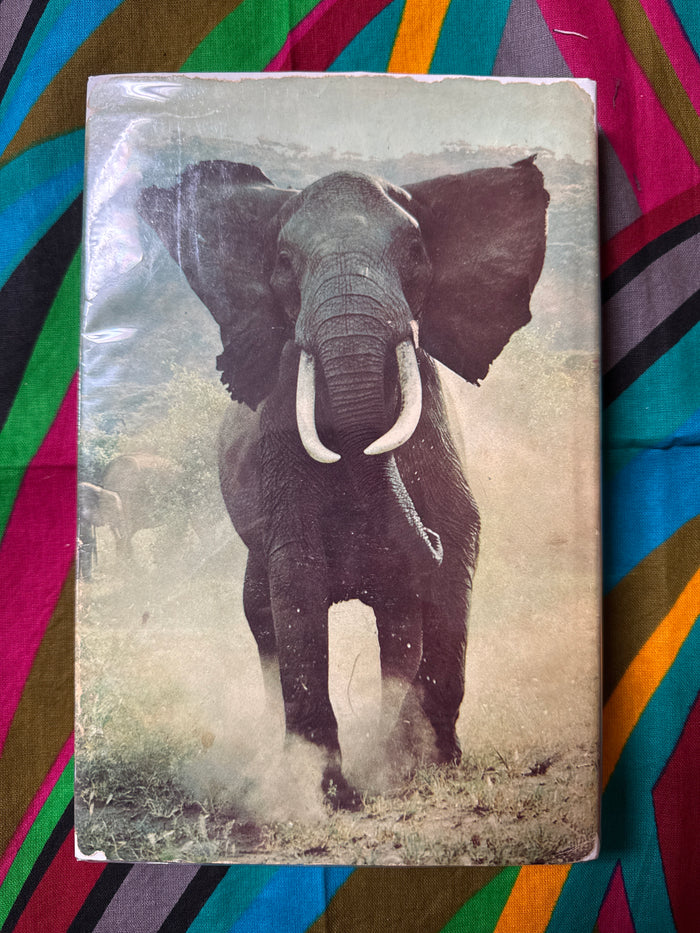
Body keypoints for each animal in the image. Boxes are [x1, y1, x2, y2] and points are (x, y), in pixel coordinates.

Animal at [137, 157, 549, 807]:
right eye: (284, 261)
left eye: (414, 249)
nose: (425, 540)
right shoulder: (281, 426)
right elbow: (297, 572)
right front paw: (327, 791)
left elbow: (461, 532)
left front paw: (430, 763)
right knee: (262, 617)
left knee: (397, 622)